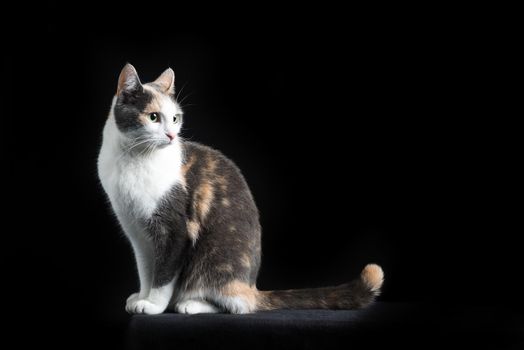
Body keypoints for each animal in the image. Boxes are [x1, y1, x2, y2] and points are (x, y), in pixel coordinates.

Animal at [97, 64, 384, 316]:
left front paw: (154, 305)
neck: (133, 158)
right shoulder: (138, 233)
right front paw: (142, 296)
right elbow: (147, 270)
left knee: (238, 305)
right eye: (153, 117)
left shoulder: (175, 230)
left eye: (175, 119)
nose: (171, 136)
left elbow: (164, 274)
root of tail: (251, 286)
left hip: (215, 259)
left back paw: (190, 304)